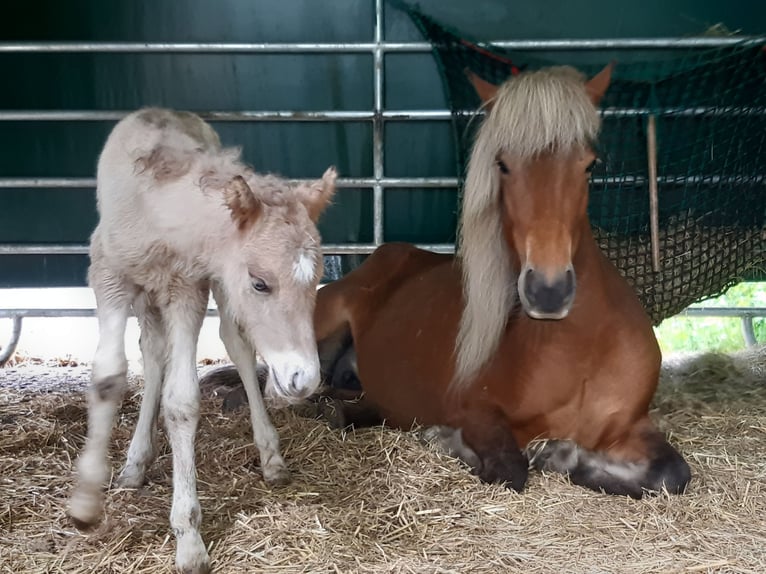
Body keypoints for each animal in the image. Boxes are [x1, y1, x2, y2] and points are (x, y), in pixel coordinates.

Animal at [70, 109, 336, 574]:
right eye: (260, 282)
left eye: (317, 278)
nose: (303, 378)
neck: (155, 213)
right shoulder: (108, 277)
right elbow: (108, 378)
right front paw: (85, 505)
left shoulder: (188, 288)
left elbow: (182, 400)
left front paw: (188, 538)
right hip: (148, 295)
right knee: (151, 351)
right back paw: (134, 464)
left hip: (211, 285)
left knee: (235, 343)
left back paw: (270, 458)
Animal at [201, 65, 692, 502]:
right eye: (503, 164)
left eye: (589, 165)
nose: (548, 292)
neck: (580, 345)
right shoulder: (478, 412)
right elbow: (509, 469)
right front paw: (448, 440)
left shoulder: (632, 425)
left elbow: (673, 475)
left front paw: (564, 456)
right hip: (317, 326)